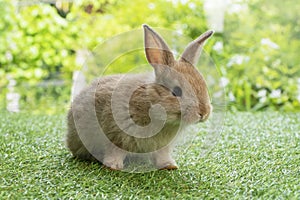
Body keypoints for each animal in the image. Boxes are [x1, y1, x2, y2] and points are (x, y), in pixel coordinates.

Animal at [65, 24, 213, 170]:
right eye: (176, 91)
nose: (204, 113)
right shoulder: (116, 136)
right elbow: (115, 151)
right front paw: (113, 166)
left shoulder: (161, 147)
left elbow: (162, 155)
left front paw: (169, 166)